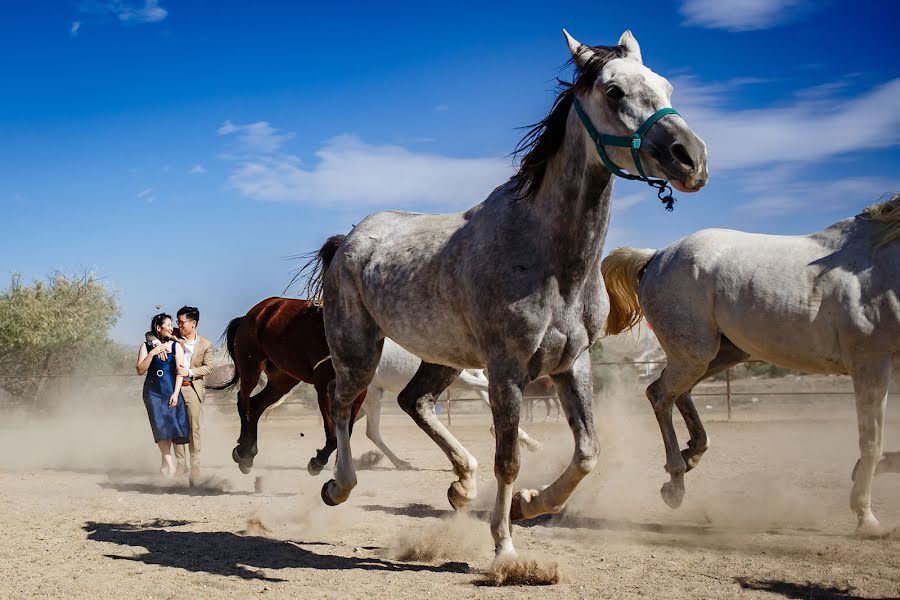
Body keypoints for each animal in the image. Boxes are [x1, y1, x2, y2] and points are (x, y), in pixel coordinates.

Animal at [211, 298, 366, 476]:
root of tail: (248, 316)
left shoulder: (358, 394)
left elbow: (345, 434)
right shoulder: (324, 388)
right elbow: (334, 435)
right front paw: (317, 462)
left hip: (282, 380)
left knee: (256, 405)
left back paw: (249, 455)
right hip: (251, 368)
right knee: (243, 402)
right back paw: (242, 451)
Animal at [312, 30, 708, 560]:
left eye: (666, 85)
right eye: (613, 91)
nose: (692, 159)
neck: (550, 260)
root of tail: (348, 240)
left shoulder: (571, 364)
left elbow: (588, 452)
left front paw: (528, 504)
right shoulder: (507, 371)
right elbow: (510, 460)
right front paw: (504, 545)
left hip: (446, 357)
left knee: (415, 402)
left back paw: (462, 483)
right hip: (358, 350)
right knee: (341, 405)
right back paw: (338, 486)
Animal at [600, 195, 900, 536]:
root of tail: (655, 256)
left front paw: (860, 479)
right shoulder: (870, 364)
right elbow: (872, 442)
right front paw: (867, 519)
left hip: (722, 354)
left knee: (675, 392)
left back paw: (692, 455)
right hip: (695, 353)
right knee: (661, 395)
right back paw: (676, 482)